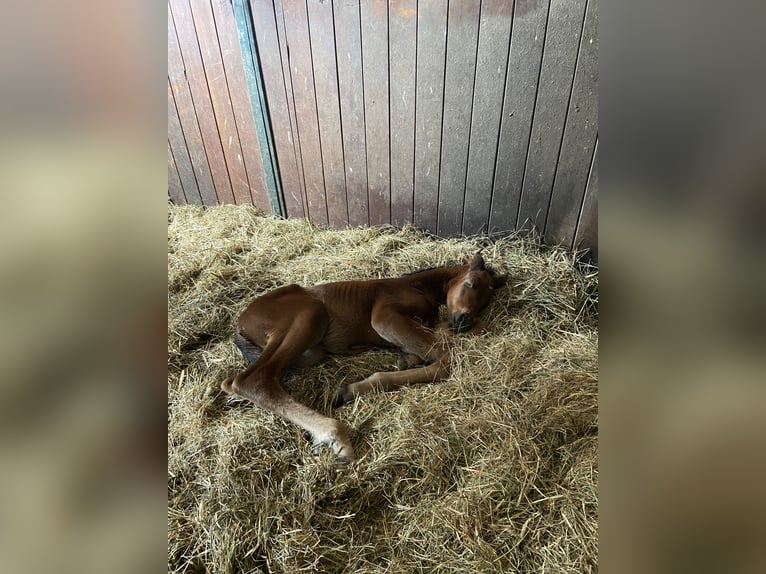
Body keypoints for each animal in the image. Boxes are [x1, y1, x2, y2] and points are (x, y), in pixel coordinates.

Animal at [222, 252, 508, 464]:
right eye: (471, 283)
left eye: (486, 301)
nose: (464, 321)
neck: (415, 286)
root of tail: (241, 322)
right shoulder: (385, 318)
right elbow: (445, 361)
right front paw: (353, 389)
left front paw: (407, 359)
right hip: (310, 315)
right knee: (252, 380)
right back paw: (335, 435)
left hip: (311, 351)